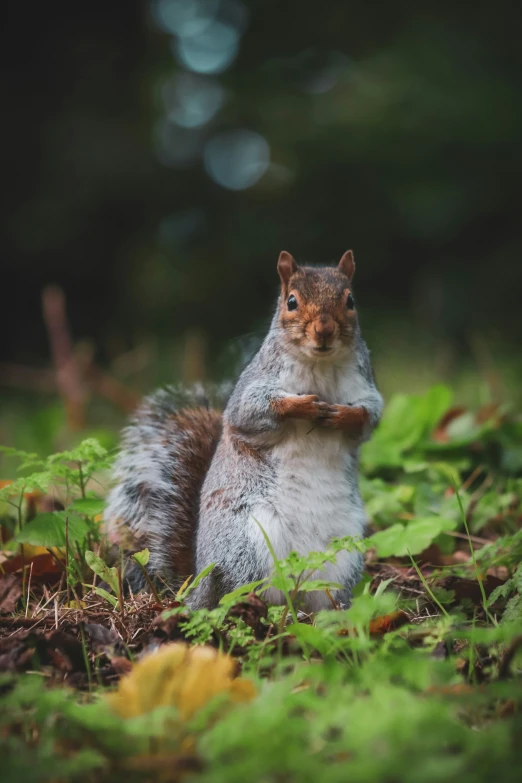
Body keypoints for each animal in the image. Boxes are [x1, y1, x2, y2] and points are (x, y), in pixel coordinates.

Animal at [105, 251, 382, 612]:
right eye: (291, 301)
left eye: (350, 300)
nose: (324, 330)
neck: (320, 366)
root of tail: (196, 582)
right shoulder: (252, 390)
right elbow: (250, 413)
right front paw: (304, 407)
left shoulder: (366, 387)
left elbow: (369, 416)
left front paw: (343, 414)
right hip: (247, 541)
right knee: (235, 590)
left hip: (343, 552)